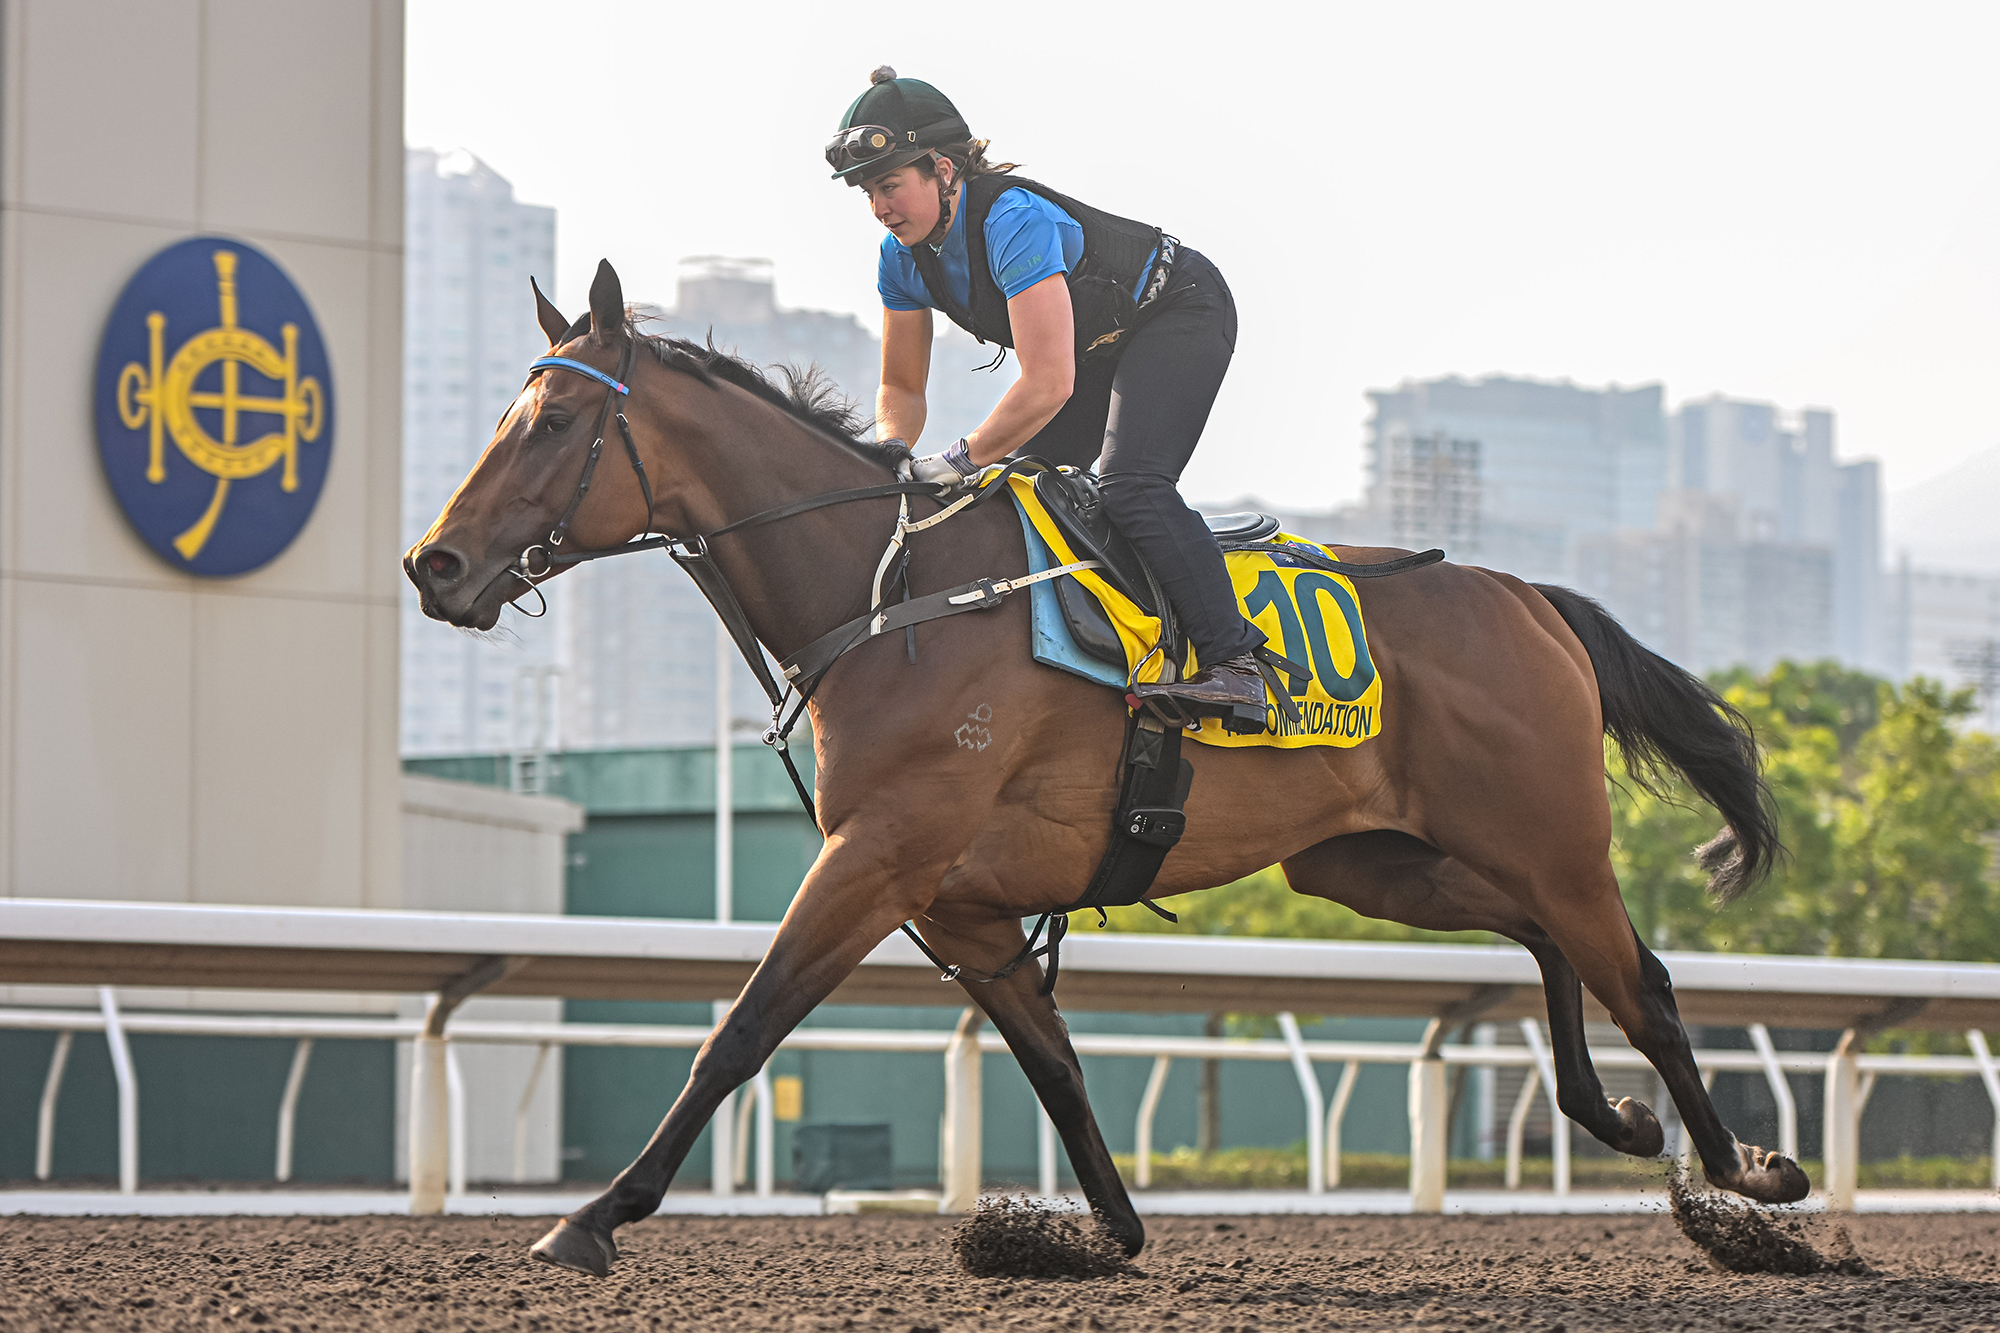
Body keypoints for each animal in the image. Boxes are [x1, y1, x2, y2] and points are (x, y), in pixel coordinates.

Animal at [402, 260, 1800, 1280]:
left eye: (558, 421)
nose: (435, 566)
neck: (891, 597)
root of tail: (1530, 597)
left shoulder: (878, 858)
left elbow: (740, 1030)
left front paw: (591, 1216)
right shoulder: (957, 904)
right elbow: (1056, 1063)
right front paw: (1091, 1231)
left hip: (1544, 836)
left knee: (1643, 982)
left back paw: (1747, 1181)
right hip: (1371, 862)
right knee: (1550, 942)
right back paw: (1618, 1117)